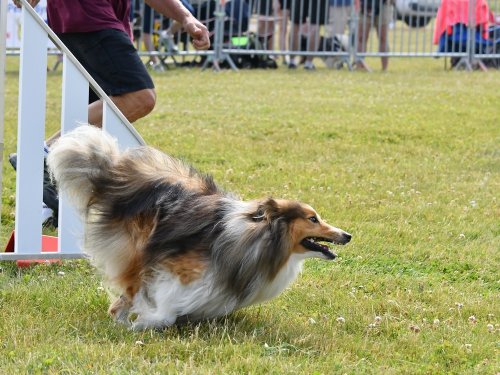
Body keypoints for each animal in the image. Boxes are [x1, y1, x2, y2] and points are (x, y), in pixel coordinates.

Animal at [47, 125, 352, 328]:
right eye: (313, 219)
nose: (347, 235)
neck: (260, 238)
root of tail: (114, 177)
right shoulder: (176, 268)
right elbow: (166, 304)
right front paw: (149, 320)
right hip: (137, 250)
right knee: (131, 287)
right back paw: (122, 321)